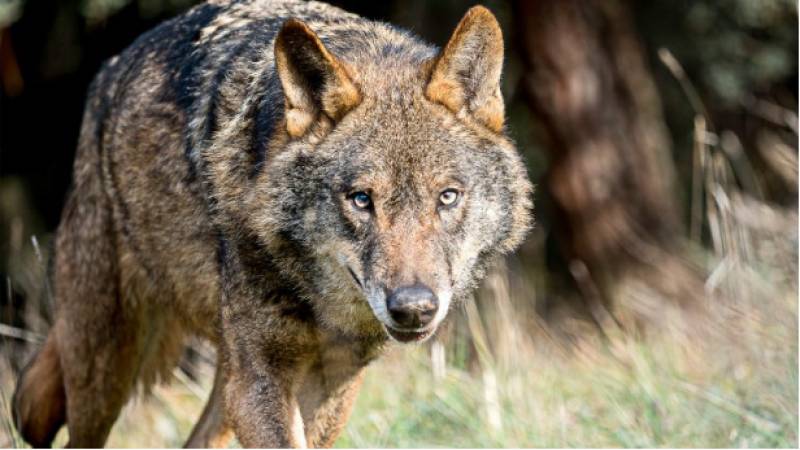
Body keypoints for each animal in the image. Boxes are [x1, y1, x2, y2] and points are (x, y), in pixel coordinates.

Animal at [12, 0, 532, 447]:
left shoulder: (331, 383)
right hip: (106, 366)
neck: (316, 303)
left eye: (447, 197)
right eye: (361, 200)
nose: (413, 308)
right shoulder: (262, 375)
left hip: (220, 378)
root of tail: (111, 67)